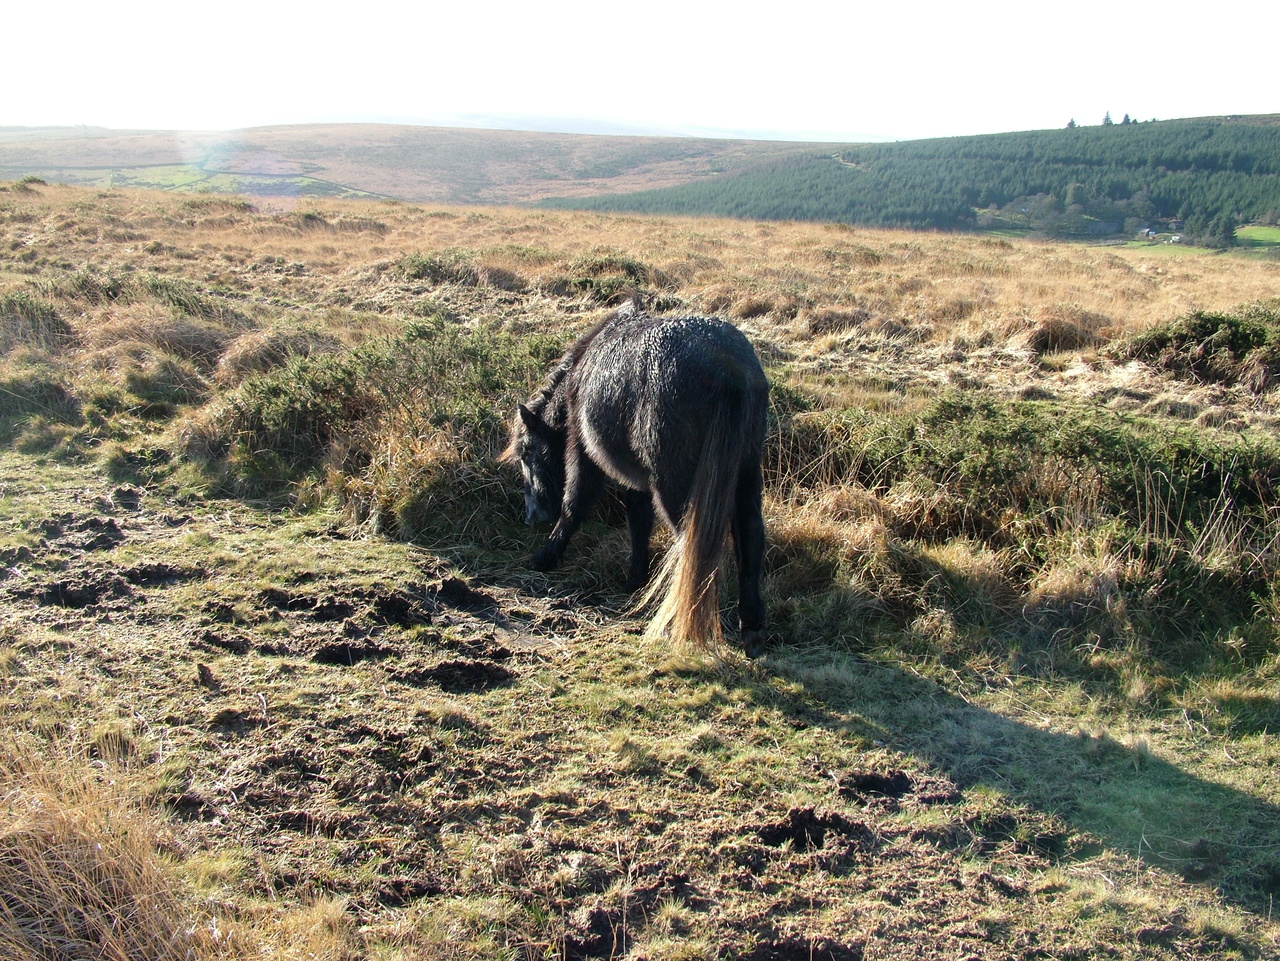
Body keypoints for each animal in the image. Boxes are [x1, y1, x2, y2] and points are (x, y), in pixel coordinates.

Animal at [501, 308, 768, 655]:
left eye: (526, 450)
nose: (533, 516)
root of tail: (727, 368)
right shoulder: (637, 477)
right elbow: (638, 520)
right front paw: (635, 578)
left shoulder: (583, 452)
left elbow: (574, 505)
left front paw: (544, 558)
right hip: (746, 471)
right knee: (750, 536)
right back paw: (751, 626)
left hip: (676, 485)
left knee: (693, 548)